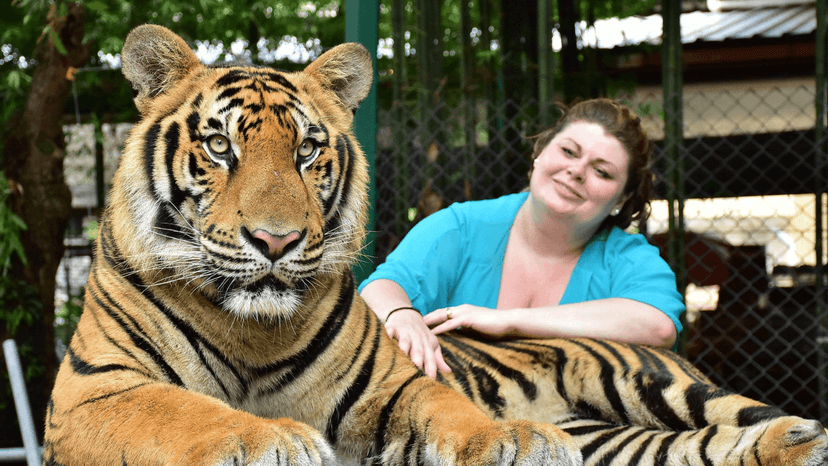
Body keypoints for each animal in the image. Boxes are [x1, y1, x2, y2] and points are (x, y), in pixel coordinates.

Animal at [42, 23, 828, 466]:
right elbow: (180, 411)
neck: (252, 330)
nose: (275, 240)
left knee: (735, 420)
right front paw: (267, 438)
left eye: (306, 151)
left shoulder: (387, 385)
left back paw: (798, 440)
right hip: (619, 441)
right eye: (219, 147)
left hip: (659, 382)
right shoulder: (94, 392)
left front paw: (511, 440)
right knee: (696, 451)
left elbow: (449, 407)